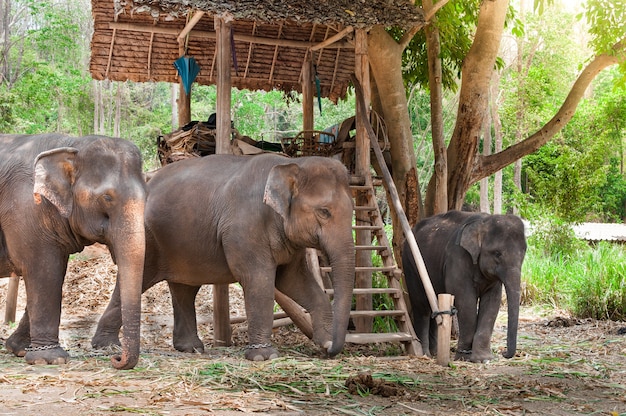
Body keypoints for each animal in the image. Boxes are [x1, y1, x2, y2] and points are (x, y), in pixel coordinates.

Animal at [0, 132, 145, 368]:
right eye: (107, 198)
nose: (115, 358)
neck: (72, 144)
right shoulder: (25, 209)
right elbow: (43, 272)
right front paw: (50, 359)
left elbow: (54, 272)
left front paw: (19, 349)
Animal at [94, 153, 356, 360]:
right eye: (324, 211)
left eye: (353, 209)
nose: (332, 349)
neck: (290, 164)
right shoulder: (244, 228)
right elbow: (258, 280)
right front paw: (264, 356)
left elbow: (294, 280)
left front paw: (325, 342)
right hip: (148, 240)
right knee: (139, 280)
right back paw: (106, 346)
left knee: (184, 289)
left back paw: (191, 349)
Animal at [400, 210, 528, 362]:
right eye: (497, 253)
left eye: (524, 252)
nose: (503, 353)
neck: (484, 221)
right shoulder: (458, 257)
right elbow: (465, 301)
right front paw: (465, 357)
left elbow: (492, 302)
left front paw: (484, 358)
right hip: (410, 263)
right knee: (422, 306)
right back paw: (425, 354)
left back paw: (435, 352)